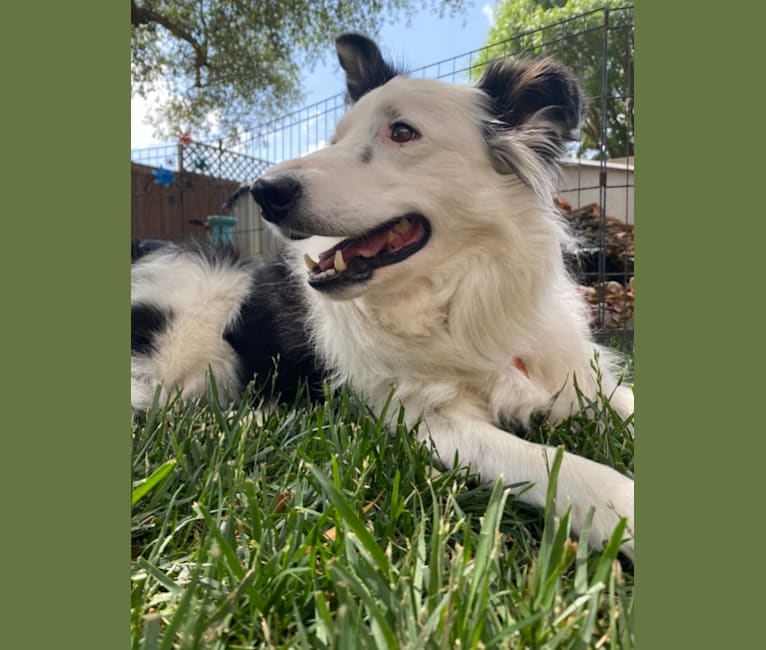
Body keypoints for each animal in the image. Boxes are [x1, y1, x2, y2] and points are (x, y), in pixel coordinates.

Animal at [132, 31, 636, 556]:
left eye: (403, 133)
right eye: (336, 140)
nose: (264, 191)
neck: (458, 297)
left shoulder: (580, 379)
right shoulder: (430, 421)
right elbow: (559, 464)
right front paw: (626, 510)